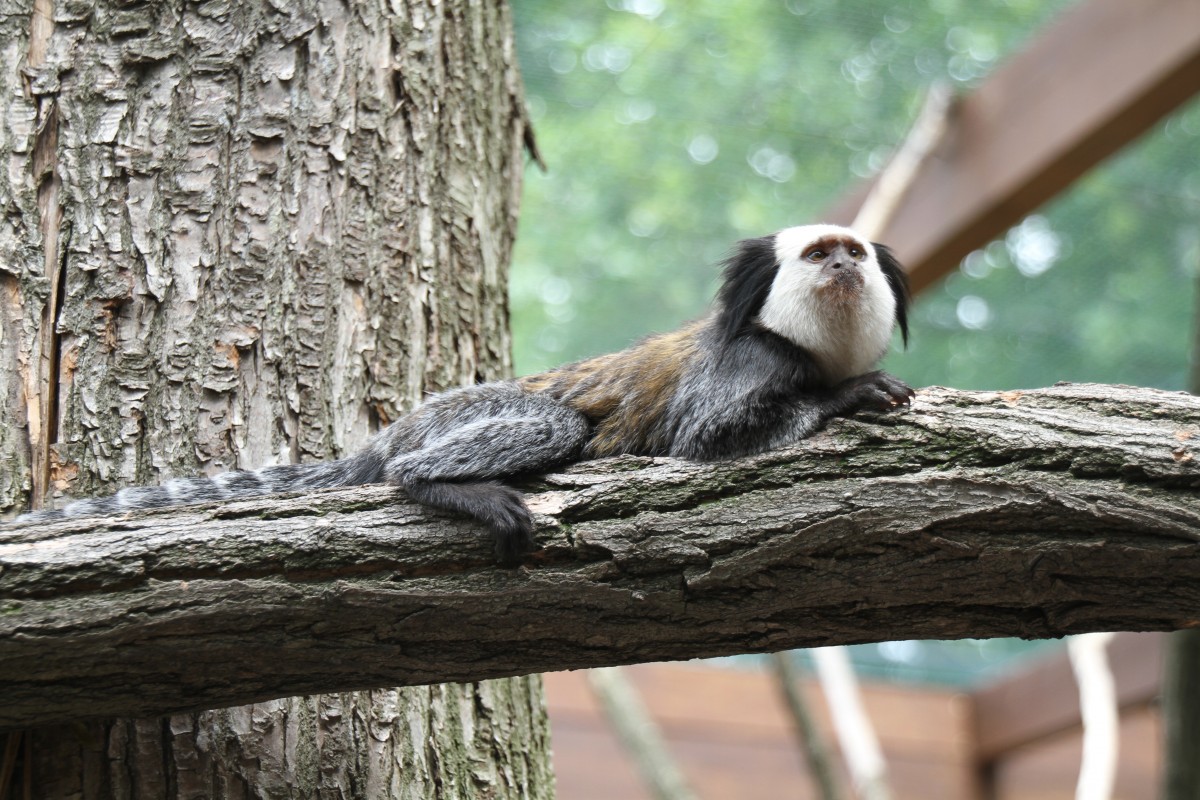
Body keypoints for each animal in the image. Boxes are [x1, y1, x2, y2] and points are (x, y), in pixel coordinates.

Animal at [16, 224, 907, 563]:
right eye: (817, 253)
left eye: (853, 251)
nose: (841, 263)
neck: (808, 345)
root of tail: (400, 428)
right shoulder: (750, 360)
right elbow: (709, 438)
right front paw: (846, 397)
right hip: (475, 415)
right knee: (545, 427)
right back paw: (446, 483)